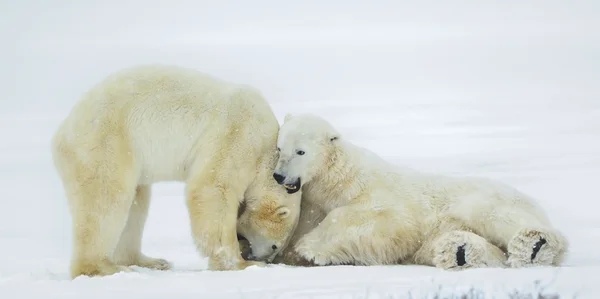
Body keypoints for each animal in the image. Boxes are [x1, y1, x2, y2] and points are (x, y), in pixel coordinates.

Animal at [51, 63, 302, 278]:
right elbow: (212, 189)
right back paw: (102, 268)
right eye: (275, 245)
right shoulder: (238, 135)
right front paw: (241, 263)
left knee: (137, 202)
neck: (269, 149)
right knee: (106, 199)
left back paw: (149, 261)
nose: (265, 259)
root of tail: (63, 132)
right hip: (107, 143)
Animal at [268, 113, 568, 270]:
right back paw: (459, 252)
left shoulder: (378, 194)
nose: (279, 176)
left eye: (300, 151)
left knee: (499, 218)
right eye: (280, 149)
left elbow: (384, 219)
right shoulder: (312, 204)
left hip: (488, 198)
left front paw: (309, 248)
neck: (338, 179)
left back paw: (535, 245)